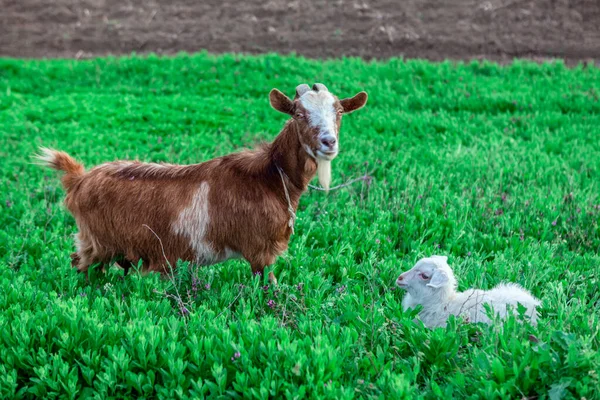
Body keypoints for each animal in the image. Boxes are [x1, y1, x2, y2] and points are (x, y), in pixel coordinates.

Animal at [38, 83, 366, 284]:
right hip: (97, 242)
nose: (329, 142)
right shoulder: (259, 251)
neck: (270, 177)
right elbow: (270, 286)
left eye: (339, 112)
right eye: (299, 113)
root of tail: (79, 179)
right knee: (80, 266)